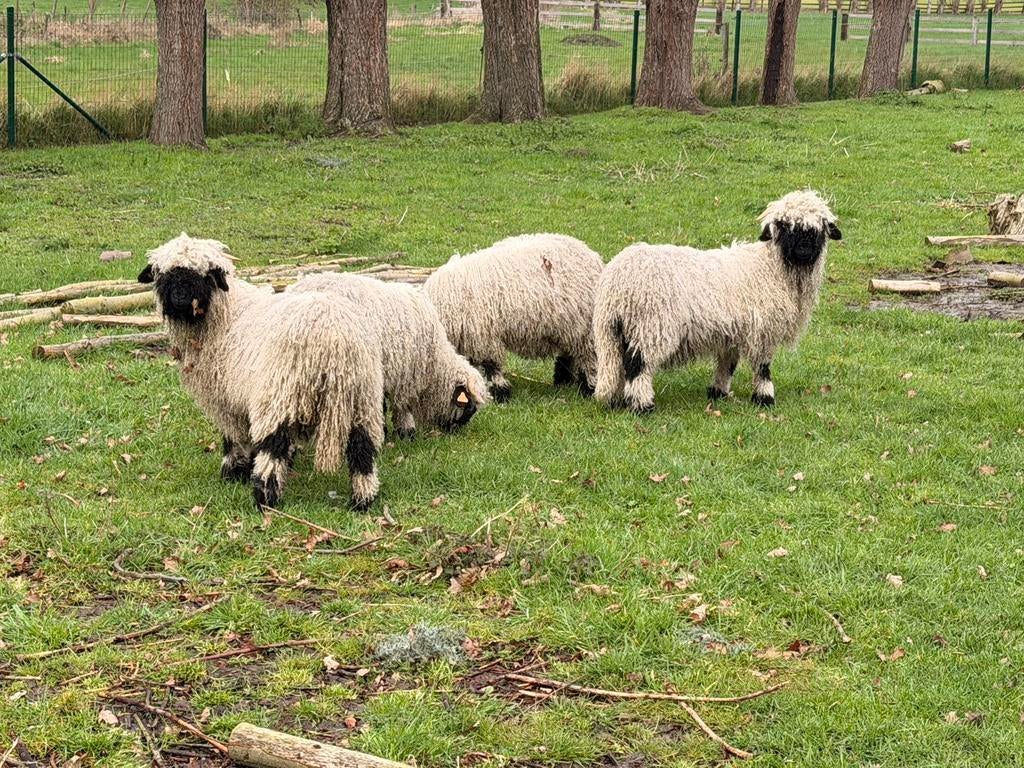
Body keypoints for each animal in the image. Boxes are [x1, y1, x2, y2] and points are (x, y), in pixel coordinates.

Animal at [138, 233, 386, 511]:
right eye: (163, 274)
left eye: (205, 274)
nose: (179, 297)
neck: (225, 315)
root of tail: (335, 338)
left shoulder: (228, 400)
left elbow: (235, 438)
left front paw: (234, 471)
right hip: (363, 397)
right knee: (362, 448)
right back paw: (362, 500)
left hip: (279, 393)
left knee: (273, 446)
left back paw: (265, 497)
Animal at [286, 271, 489, 438]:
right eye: (468, 407)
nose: (454, 432)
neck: (434, 361)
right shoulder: (405, 374)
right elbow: (401, 405)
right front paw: (405, 431)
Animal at [422, 234, 604, 402]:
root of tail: (594, 257)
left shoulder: (484, 338)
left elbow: (490, 367)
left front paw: (499, 392)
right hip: (569, 326)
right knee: (570, 355)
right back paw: (564, 382)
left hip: (585, 328)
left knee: (590, 359)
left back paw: (588, 388)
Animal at [593, 190, 841, 413]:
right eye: (782, 225)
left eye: (819, 228)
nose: (803, 249)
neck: (772, 267)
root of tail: (616, 283)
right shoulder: (763, 330)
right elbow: (762, 367)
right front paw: (765, 397)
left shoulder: (731, 331)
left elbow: (727, 364)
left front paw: (718, 391)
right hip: (650, 327)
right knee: (638, 366)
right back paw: (642, 406)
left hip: (614, 332)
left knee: (617, 366)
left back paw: (617, 401)